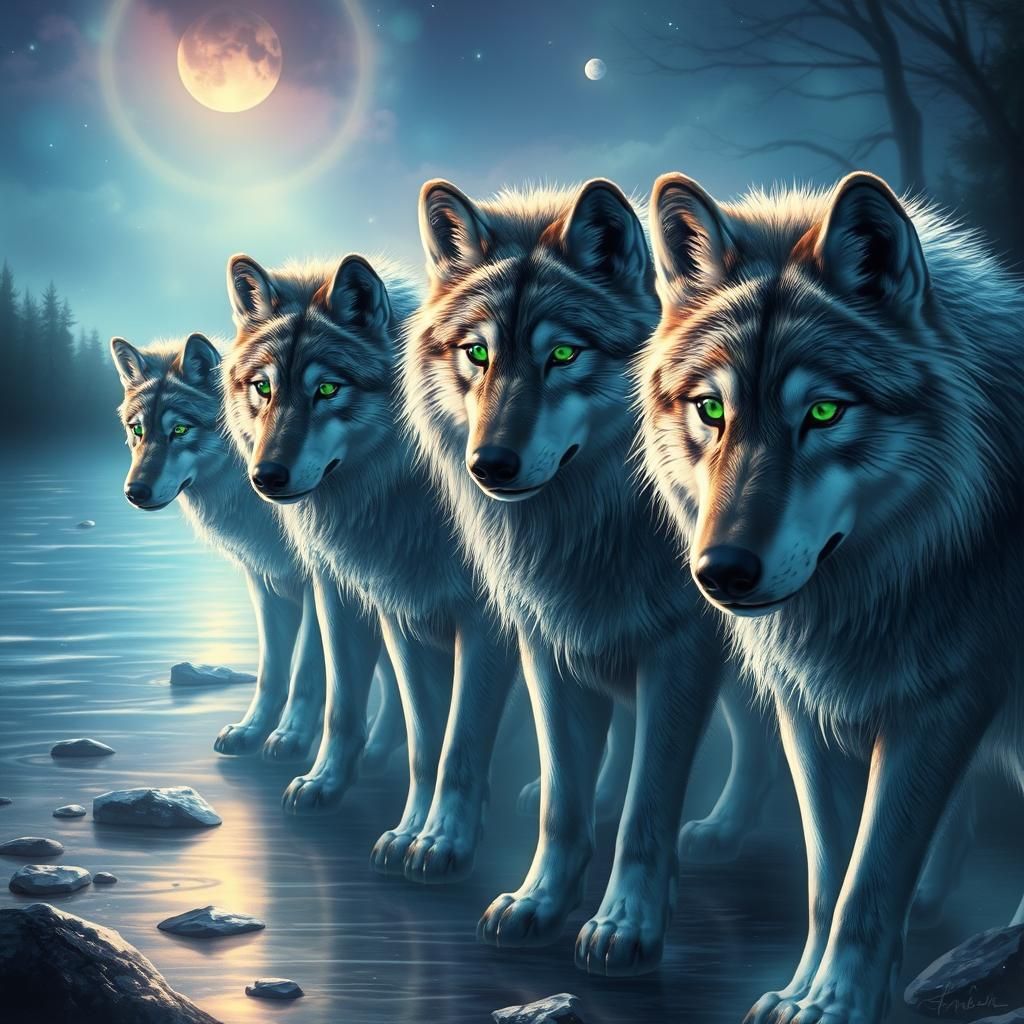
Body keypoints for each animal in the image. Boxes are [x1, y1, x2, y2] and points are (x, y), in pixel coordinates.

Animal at [110, 333, 403, 770]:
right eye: (137, 430)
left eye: (180, 429)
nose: (135, 492)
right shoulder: (265, 583)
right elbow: (272, 670)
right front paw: (251, 730)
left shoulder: (316, 582)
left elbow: (307, 671)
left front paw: (291, 736)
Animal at [221, 251, 523, 881]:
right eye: (263, 388)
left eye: (327, 389)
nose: (265, 477)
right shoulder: (376, 603)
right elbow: (388, 724)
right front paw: (341, 791)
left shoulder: (486, 622)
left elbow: (459, 742)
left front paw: (444, 841)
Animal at [403, 177, 781, 975]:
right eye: (477, 353)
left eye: (563, 354)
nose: (491, 464)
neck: (593, 523)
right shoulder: (550, 642)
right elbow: (564, 800)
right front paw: (539, 903)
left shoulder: (681, 653)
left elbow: (648, 808)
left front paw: (625, 926)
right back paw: (720, 832)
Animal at [640, 170, 1024, 1023]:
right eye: (712, 409)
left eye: (822, 411)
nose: (722, 572)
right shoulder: (809, 706)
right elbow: (830, 876)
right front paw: (802, 991)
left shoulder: (942, 704)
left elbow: (870, 879)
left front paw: (838, 1002)